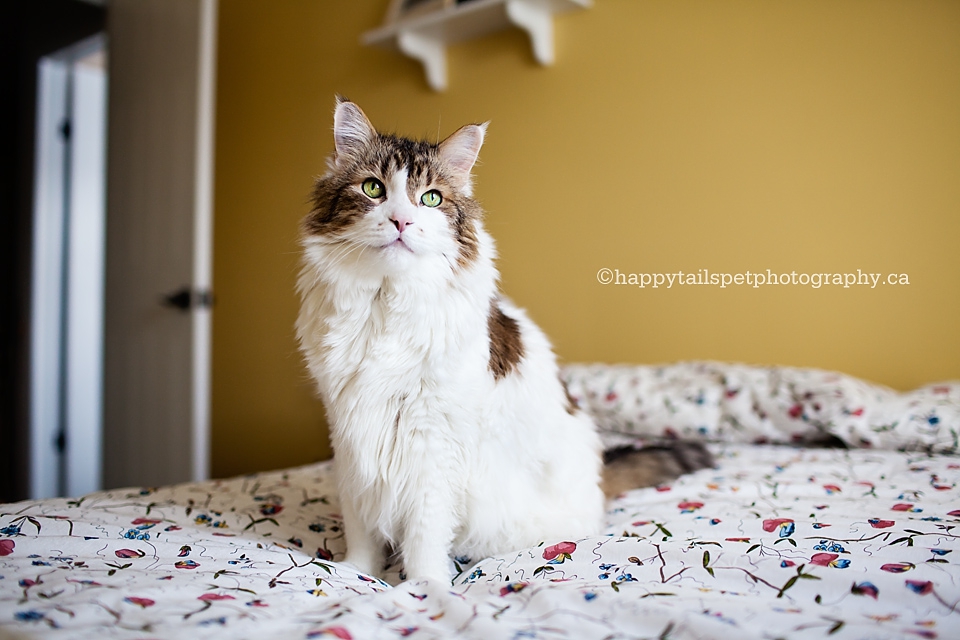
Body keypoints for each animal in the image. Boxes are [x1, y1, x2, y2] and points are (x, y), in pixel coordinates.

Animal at [296, 97, 708, 584]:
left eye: (431, 198)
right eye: (373, 189)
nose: (401, 220)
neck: (384, 305)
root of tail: (599, 482)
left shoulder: (432, 440)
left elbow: (425, 530)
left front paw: (424, 586)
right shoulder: (351, 431)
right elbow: (361, 524)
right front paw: (354, 574)